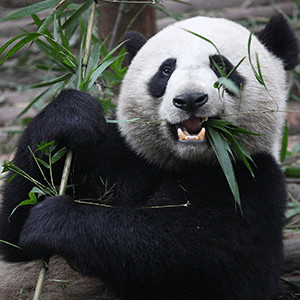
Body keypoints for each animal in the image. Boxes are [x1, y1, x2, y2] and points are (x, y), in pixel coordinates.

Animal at [0, 13, 298, 300]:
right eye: (166, 70)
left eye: (222, 66)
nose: (190, 99)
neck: (183, 163)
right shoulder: (119, 154)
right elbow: (14, 234)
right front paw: (71, 115)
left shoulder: (251, 181)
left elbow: (190, 249)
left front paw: (54, 219)